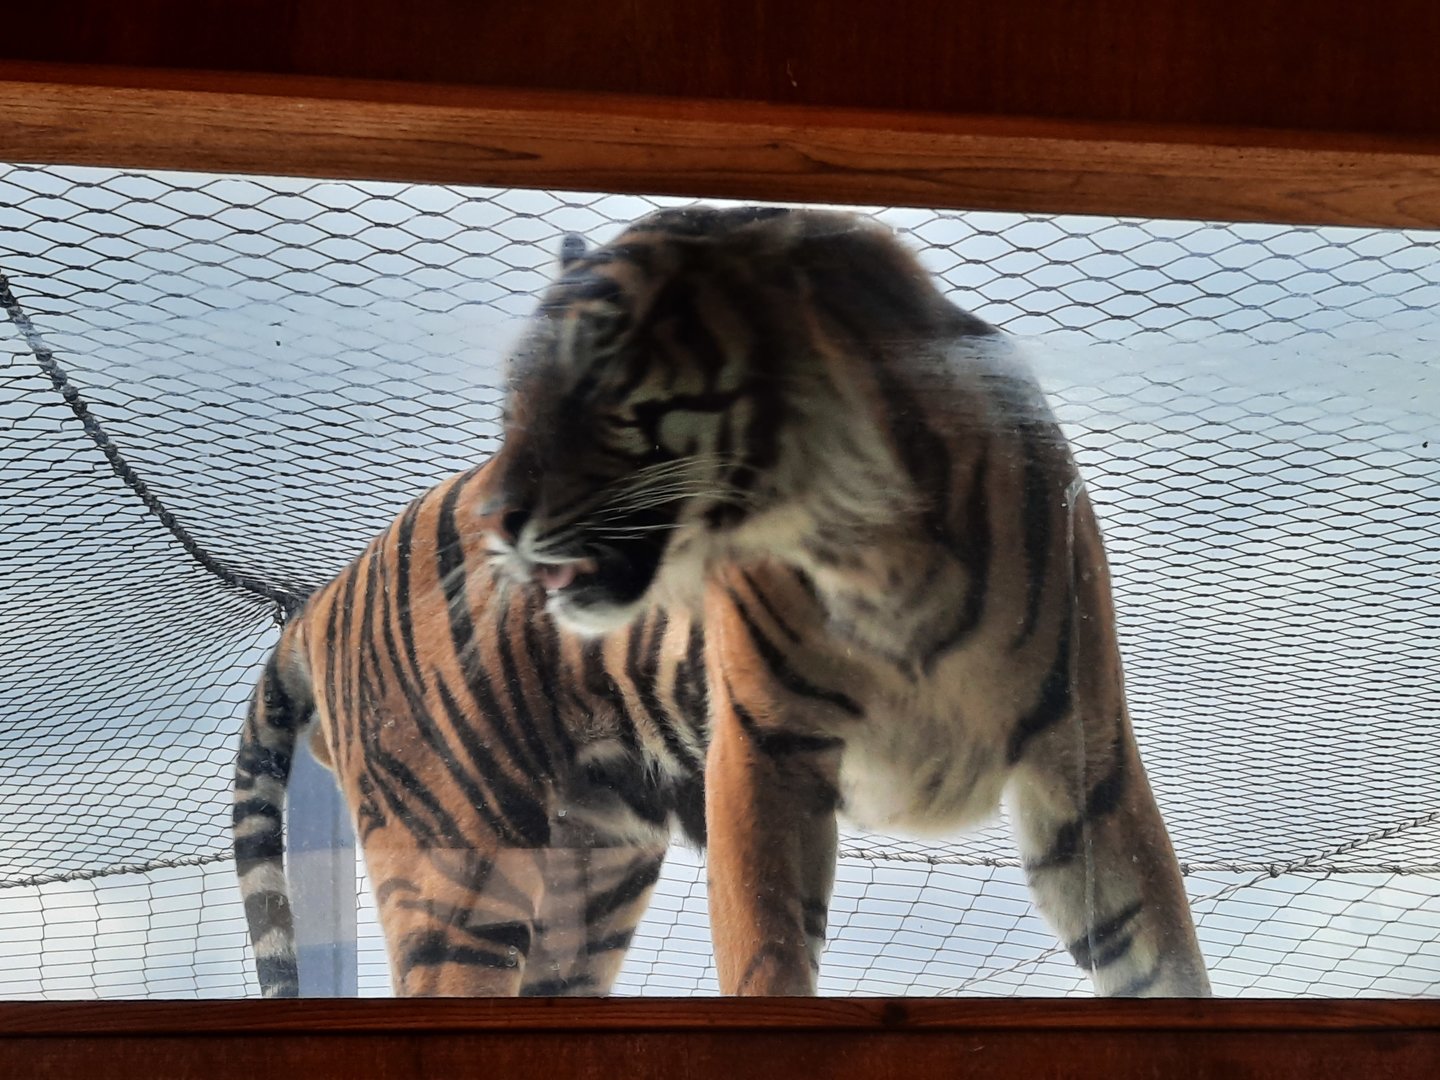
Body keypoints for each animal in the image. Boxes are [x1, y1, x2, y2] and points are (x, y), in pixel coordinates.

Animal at [234, 204, 1211, 999]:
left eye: (593, 386)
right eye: (514, 400)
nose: (496, 519)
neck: (876, 551)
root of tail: (320, 597)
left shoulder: (1083, 758)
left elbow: (1156, 952)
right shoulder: (763, 748)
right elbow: (768, 950)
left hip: (591, 881)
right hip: (459, 865)